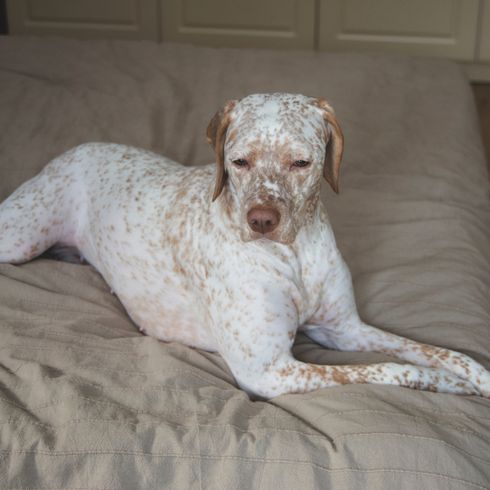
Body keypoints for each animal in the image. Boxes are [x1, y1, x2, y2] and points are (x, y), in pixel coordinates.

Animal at [0, 94, 490, 400]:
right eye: (239, 162)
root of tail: (75, 149)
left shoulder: (343, 329)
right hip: (20, 238)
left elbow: (433, 351)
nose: (261, 221)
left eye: (301, 162)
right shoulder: (269, 370)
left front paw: (475, 375)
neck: (293, 254)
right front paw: (447, 385)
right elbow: (389, 370)